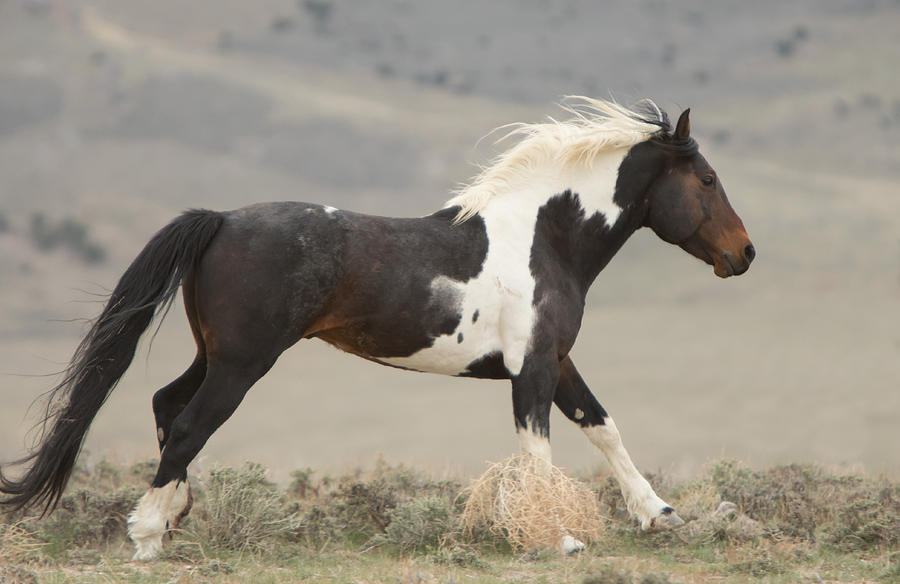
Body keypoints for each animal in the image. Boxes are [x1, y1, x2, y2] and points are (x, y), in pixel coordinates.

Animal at [0, 98, 752, 560]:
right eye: (708, 180)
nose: (744, 254)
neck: (545, 238)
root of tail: (221, 219)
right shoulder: (532, 369)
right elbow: (538, 452)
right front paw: (557, 538)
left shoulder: (556, 361)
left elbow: (602, 427)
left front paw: (657, 513)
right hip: (243, 361)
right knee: (187, 426)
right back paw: (149, 534)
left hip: (215, 353)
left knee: (167, 405)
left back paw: (174, 518)